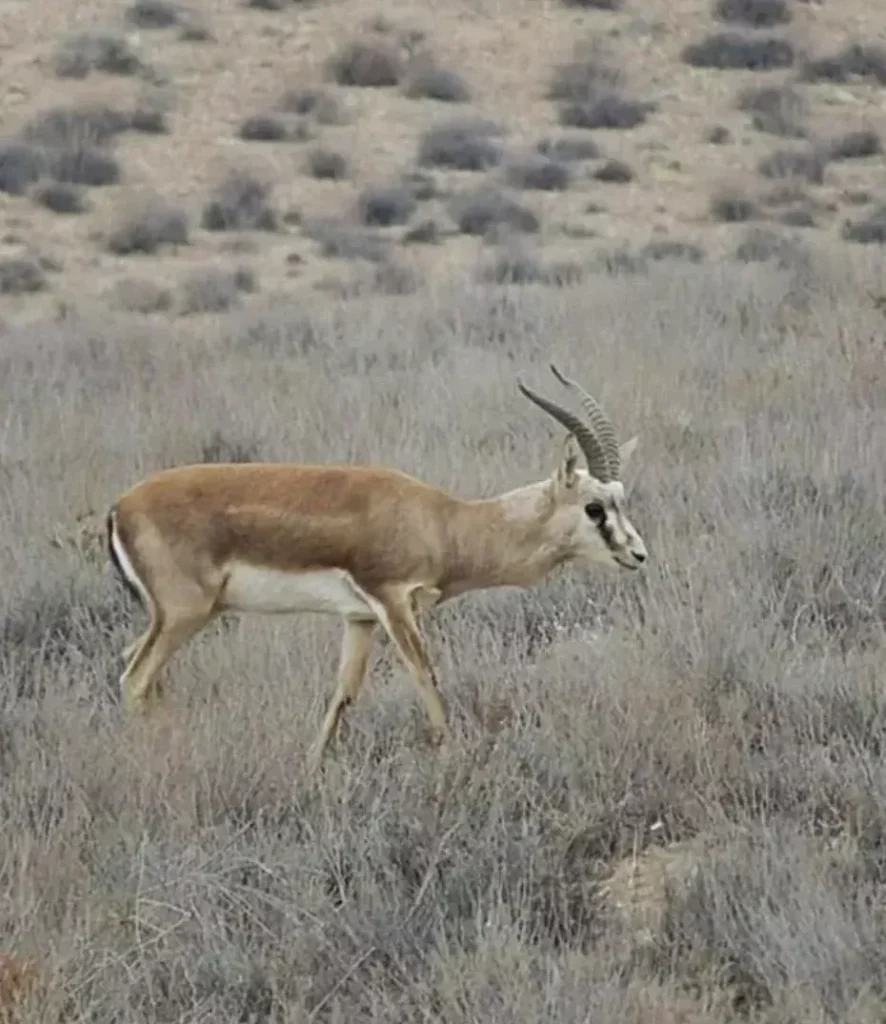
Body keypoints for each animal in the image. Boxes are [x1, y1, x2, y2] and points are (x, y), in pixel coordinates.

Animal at [107, 365, 647, 769]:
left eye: (620, 498)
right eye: (594, 507)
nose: (638, 555)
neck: (445, 522)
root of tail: (120, 506)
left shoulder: (359, 617)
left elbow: (344, 691)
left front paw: (312, 769)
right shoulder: (393, 600)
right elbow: (426, 674)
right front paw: (452, 760)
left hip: (177, 617)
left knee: (137, 669)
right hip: (185, 614)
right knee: (134, 679)